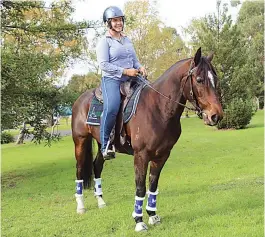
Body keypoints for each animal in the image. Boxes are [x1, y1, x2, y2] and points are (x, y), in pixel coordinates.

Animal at [71, 47, 222, 231]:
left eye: (215, 79)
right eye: (199, 80)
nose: (216, 115)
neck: (157, 108)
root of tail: (79, 100)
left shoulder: (162, 155)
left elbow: (153, 185)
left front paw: (152, 215)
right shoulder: (141, 156)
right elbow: (140, 187)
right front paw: (139, 220)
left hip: (102, 145)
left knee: (97, 167)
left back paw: (100, 201)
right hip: (80, 142)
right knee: (79, 170)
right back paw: (80, 206)